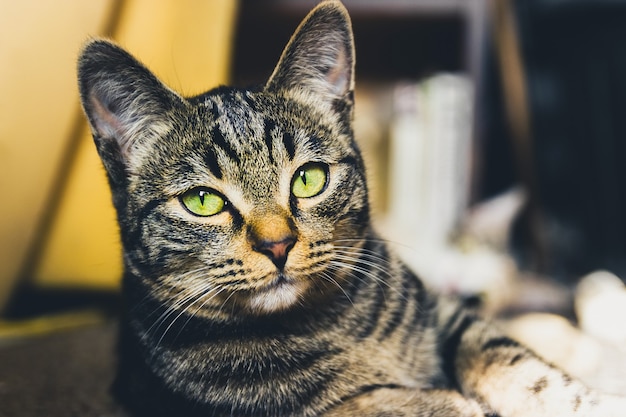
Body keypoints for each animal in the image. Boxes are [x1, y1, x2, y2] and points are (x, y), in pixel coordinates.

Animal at [77, 0, 624, 416]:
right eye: (203, 200)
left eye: (309, 178)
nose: (278, 245)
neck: (332, 327)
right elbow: (380, 404)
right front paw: (444, 402)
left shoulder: (454, 318)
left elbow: (518, 366)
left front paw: (592, 400)